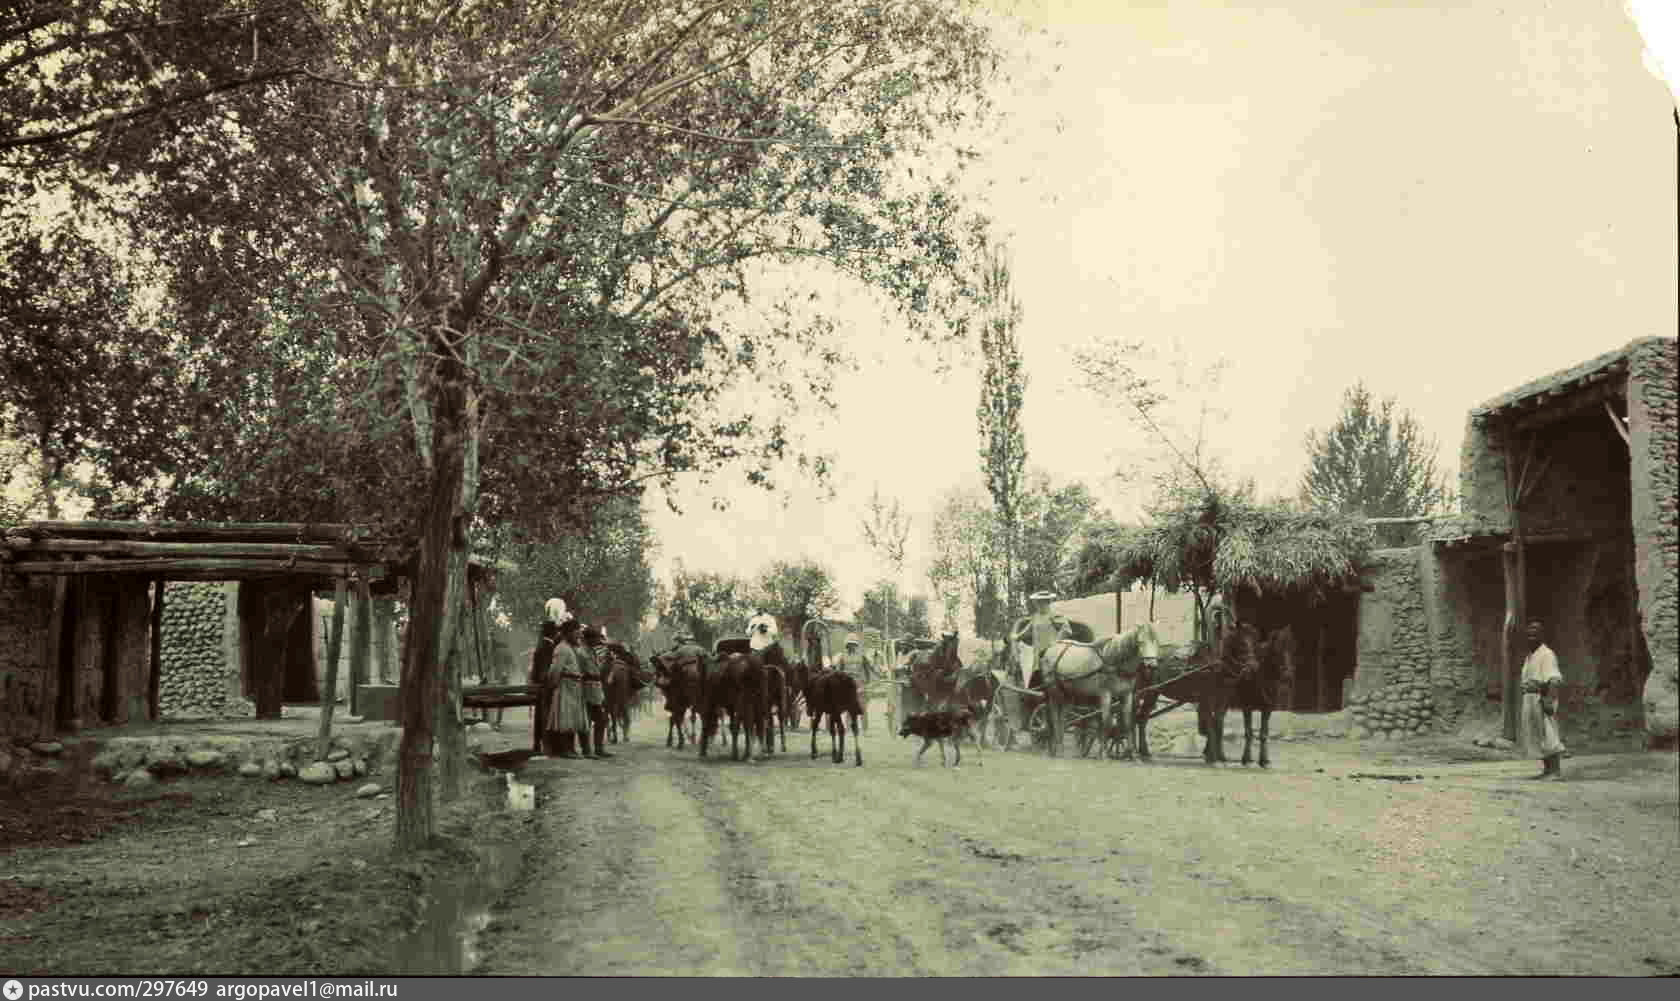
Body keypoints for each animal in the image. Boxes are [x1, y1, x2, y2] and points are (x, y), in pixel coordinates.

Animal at [1040, 623, 1160, 760]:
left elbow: (1128, 723)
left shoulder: (1127, 694)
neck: (1114, 660)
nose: (1152, 665)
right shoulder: (1105, 694)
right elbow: (1106, 722)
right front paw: (1104, 753)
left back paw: (1060, 748)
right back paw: (1055, 747)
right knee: (1054, 716)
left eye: (1156, 641)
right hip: (1054, 691)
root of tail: (1053, 646)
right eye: (1140, 642)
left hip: (1068, 694)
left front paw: (1132, 755)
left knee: (1063, 718)